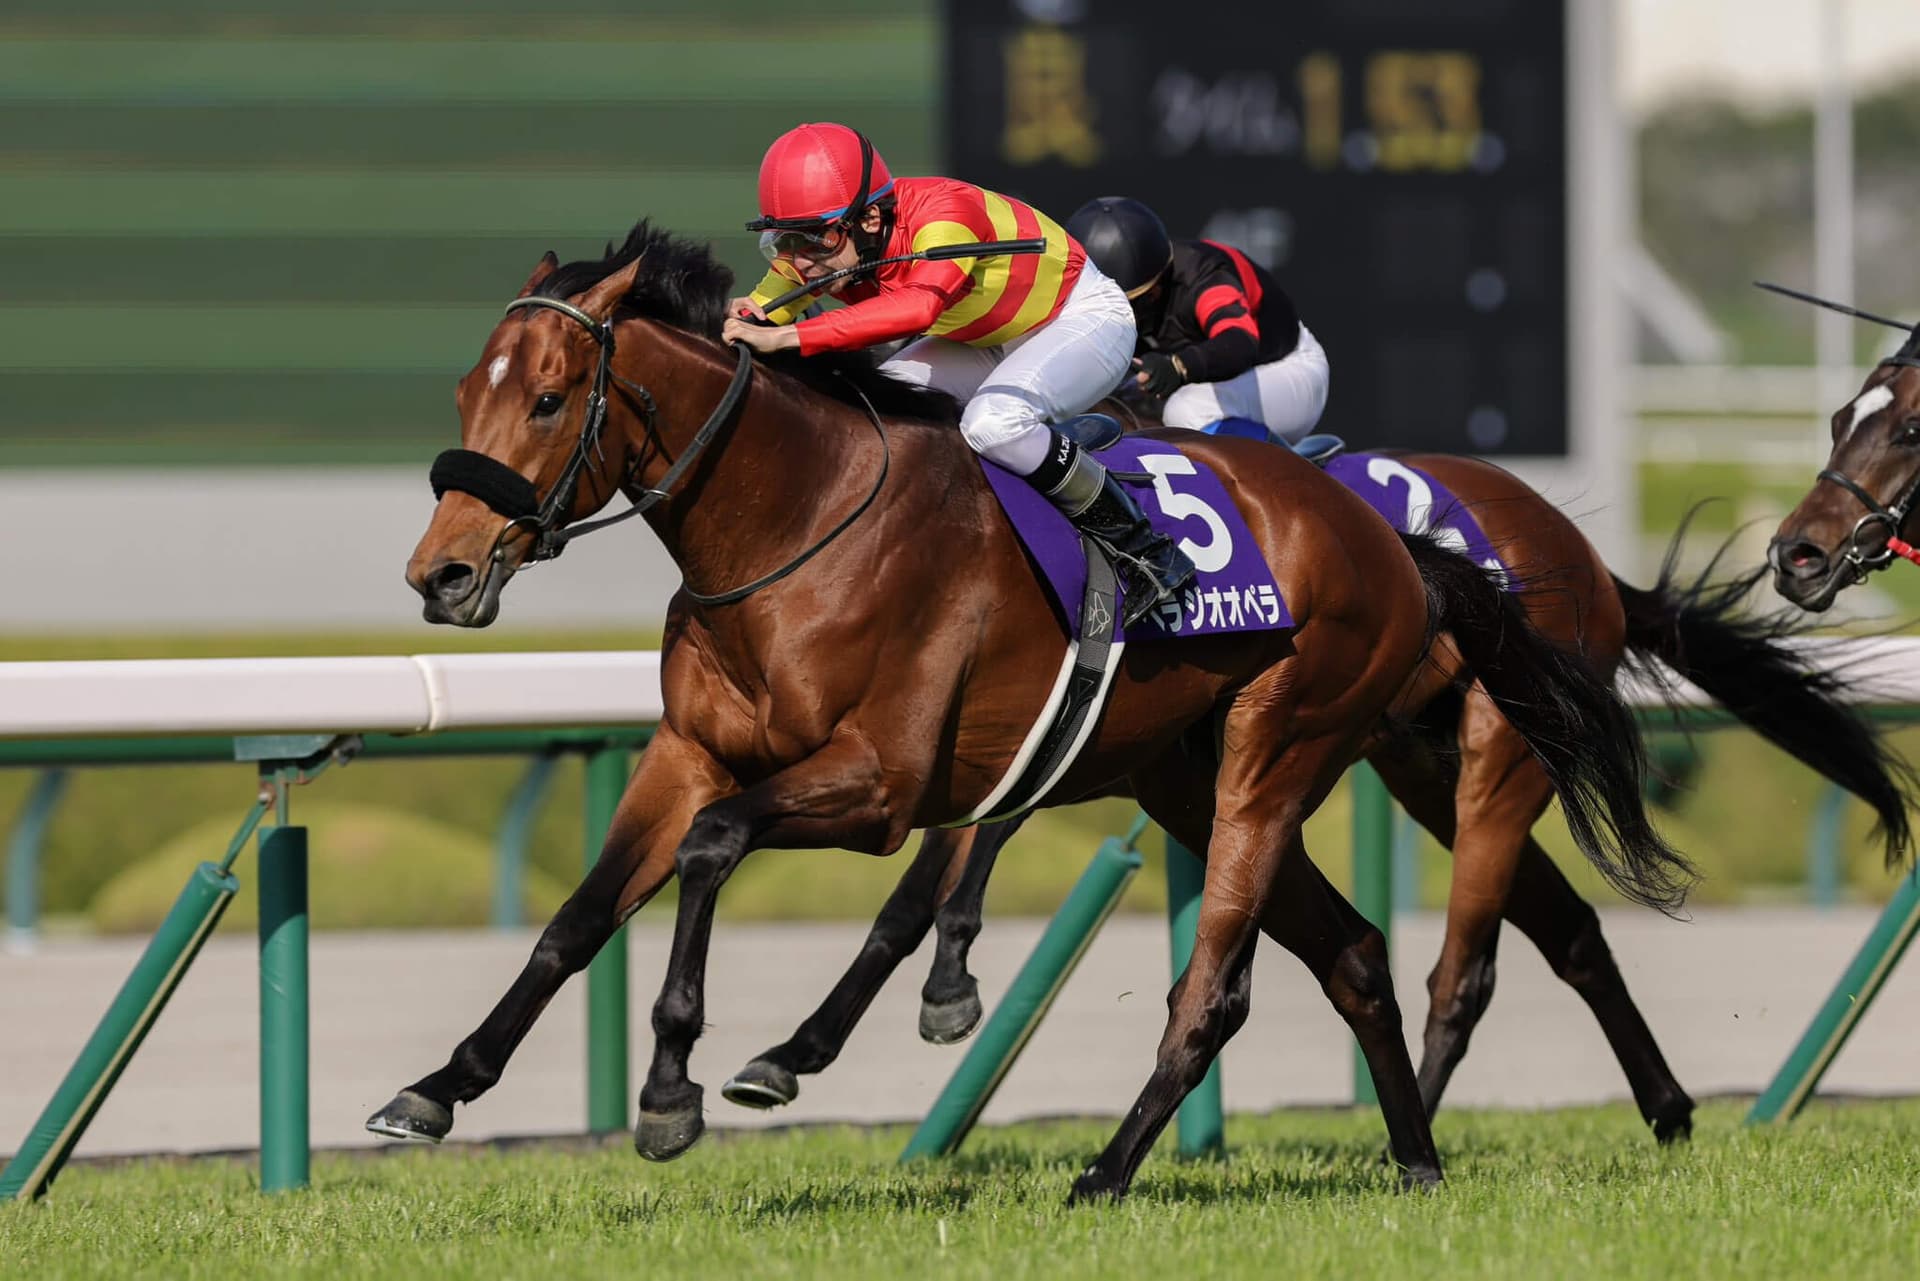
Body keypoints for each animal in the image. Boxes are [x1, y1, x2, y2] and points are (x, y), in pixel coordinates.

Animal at [367, 222, 1685, 1201]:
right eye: (468, 390)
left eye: (548, 400)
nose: (439, 575)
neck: (800, 519)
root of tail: (1392, 541)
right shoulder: (688, 753)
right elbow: (579, 918)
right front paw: (441, 1084)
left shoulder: (884, 783)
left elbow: (725, 848)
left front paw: (678, 1087)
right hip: (1205, 775)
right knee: (1363, 954)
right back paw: (1415, 1158)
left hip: (1307, 750)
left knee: (1236, 985)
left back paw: (1107, 1172)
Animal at [721, 455, 1916, 1141]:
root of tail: (1581, 555)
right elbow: (940, 863)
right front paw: (823, 1036)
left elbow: (937, 871)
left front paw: (913, 997)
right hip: (1426, 767)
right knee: (1571, 929)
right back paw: (1664, 1109)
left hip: (1496, 764)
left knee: (1466, 969)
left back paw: (1420, 1119)